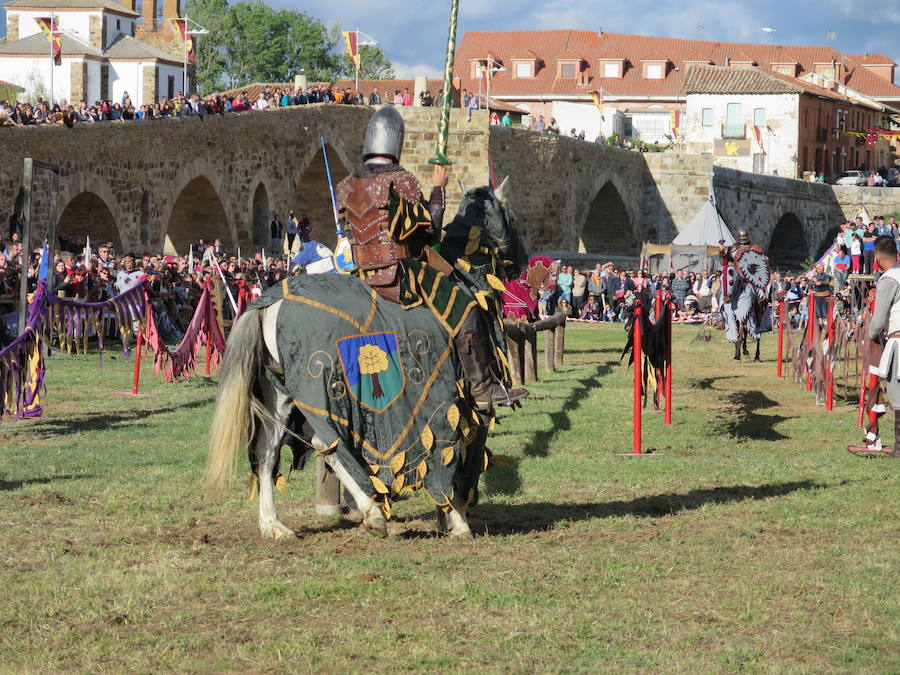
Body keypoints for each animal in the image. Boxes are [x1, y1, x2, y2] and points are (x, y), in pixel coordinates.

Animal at [201, 304, 474, 540]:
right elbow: (446, 456)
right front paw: (456, 519)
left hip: (278, 393)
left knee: (268, 453)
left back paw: (273, 526)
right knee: (326, 442)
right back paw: (374, 514)